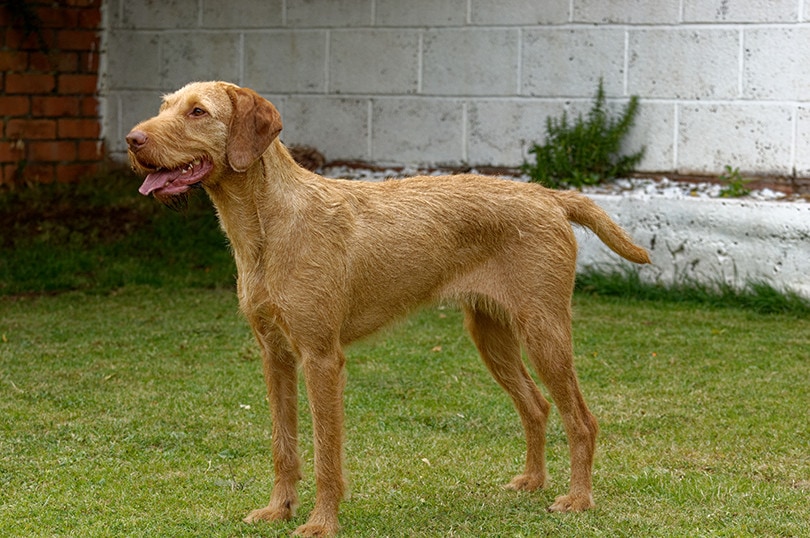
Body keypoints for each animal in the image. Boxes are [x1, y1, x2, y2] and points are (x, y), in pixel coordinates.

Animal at [128, 81, 652, 532]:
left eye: (198, 112)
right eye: (166, 106)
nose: (133, 139)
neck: (268, 226)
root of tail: (549, 195)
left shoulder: (322, 358)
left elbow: (325, 452)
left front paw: (321, 523)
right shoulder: (274, 355)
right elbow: (284, 445)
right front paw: (279, 510)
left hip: (544, 331)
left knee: (581, 419)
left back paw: (578, 499)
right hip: (491, 335)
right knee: (537, 405)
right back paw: (532, 482)